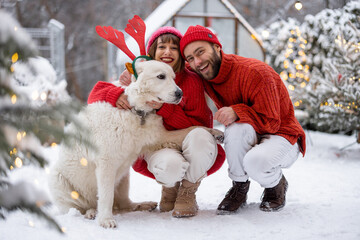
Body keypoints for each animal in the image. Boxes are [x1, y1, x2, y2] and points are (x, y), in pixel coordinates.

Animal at [47, 59, 222, 228]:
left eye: (173, 77)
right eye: (161, 76)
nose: (180, 93)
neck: (136, 112)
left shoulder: (158, 137)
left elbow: (194, 127)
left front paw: (215, 132)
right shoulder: (106, 163)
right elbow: (105, 195)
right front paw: (106, 220)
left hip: (124, 176)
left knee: (125, 204)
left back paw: (144, 205)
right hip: (59, 180)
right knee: (79, 208)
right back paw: (91, 212)